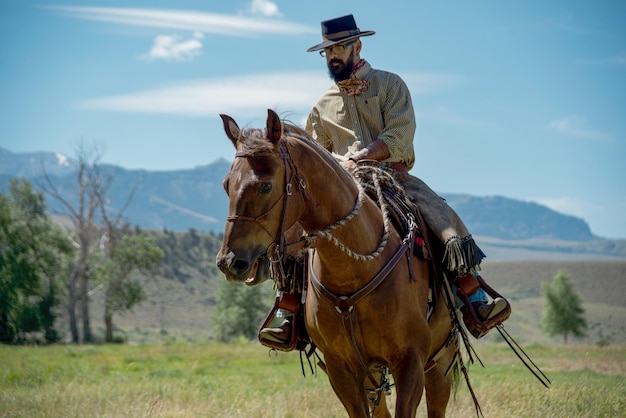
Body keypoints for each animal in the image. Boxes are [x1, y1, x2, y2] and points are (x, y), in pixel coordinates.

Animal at [214, 109, 458, 416]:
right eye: (227, 185)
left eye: (266, 186)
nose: (229, 261)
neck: (352, 272)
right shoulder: (341, 369)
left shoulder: (410, 362)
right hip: (374, 375)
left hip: (440, 363)